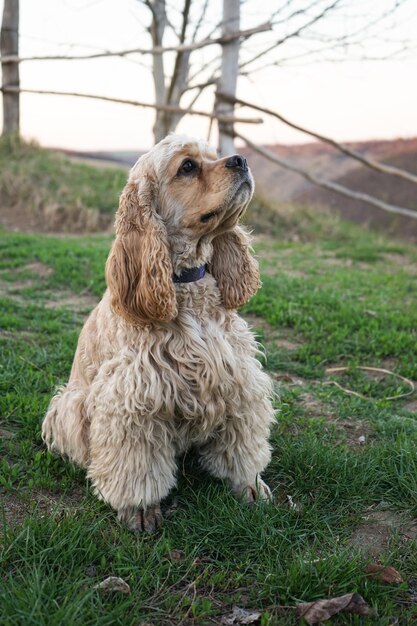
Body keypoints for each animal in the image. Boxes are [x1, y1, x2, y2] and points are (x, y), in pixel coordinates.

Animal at [42, 134, 274, 528]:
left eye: (215, 155)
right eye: (188, 167)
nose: (241, 160)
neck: (186, 286)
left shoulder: (239, 382)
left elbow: (242, 446)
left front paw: (250, 485)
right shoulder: (133, 400)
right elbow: (137, 465)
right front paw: (140, 509)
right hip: (69, 406)